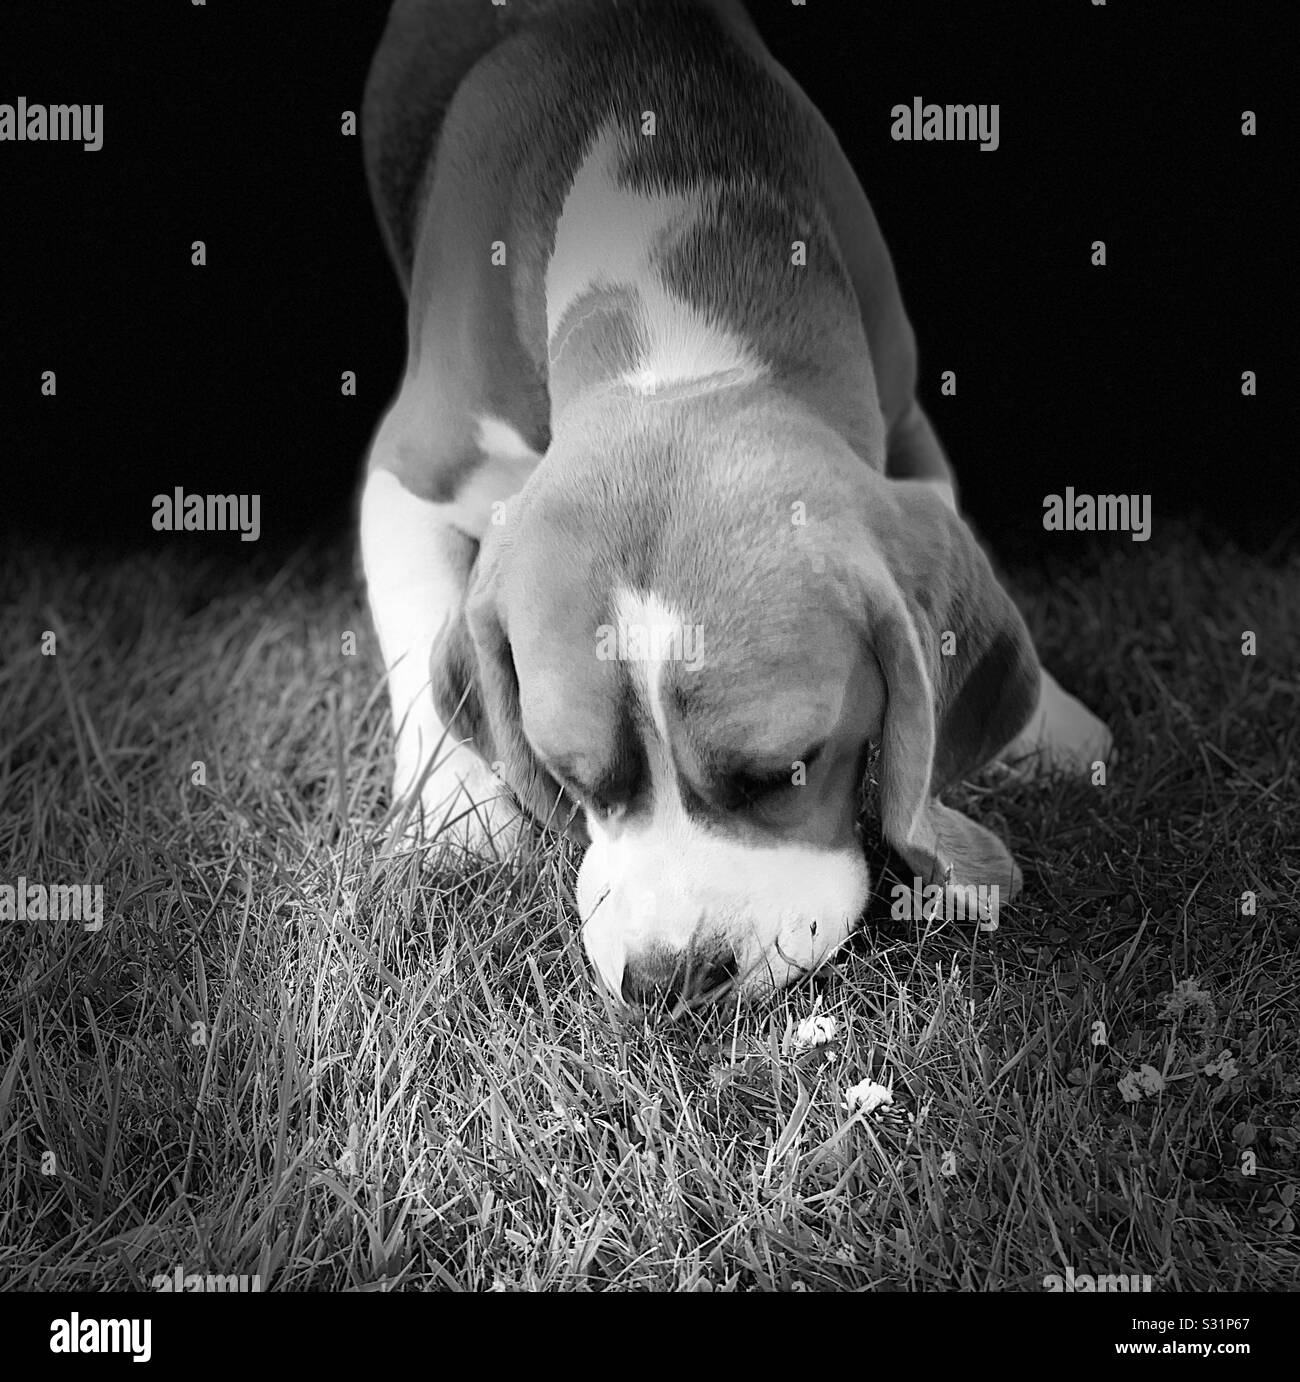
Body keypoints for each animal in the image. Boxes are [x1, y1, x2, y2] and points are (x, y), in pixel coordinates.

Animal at [359, 0, 1110, 1006]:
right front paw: (458, 812)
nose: (668, 981)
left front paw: (1044, 723)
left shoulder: (905, 417)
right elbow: (416, 635)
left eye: (785, 772)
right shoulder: (409, 463)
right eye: (570, 777)